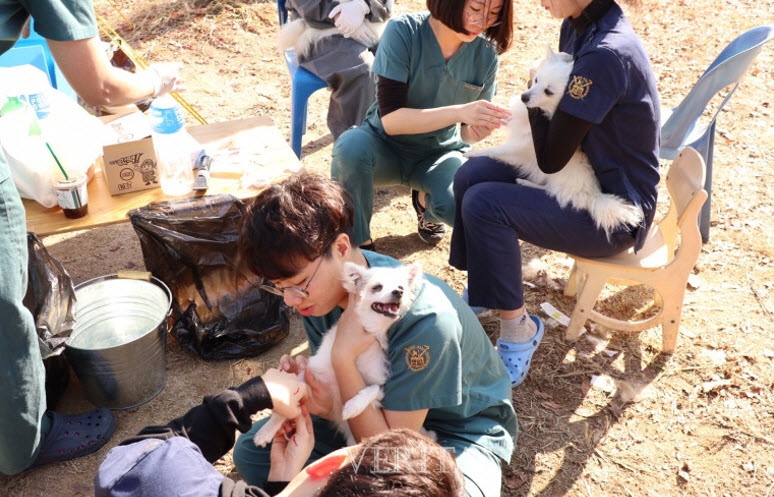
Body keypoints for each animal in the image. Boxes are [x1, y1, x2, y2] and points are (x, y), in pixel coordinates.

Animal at [253, 260, 424, 446]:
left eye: (401, 287)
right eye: (377, 287)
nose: (398, 292)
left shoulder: (380, 386)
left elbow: (371, 389)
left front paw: (352, 407)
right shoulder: (311, 374)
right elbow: (284, 406)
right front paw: (267, 430)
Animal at [466, 47, 644, 238]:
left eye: (548, 92)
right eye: (536, 80)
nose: (524, 97)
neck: (545, 111)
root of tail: (593, 195)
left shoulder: (521, 146)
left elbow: (496, 150)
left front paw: (472, 153)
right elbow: (510, 117)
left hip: (556, 177)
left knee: (551, 191)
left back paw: (525, 183)